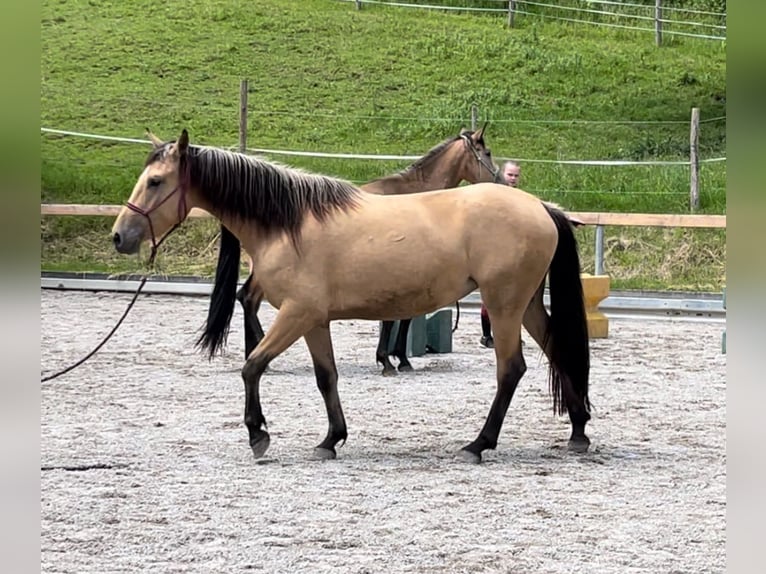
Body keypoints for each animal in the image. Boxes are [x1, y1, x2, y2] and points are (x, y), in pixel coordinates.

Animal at [112, 130, 592, 464]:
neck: (288, 221)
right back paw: (578, 431)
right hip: (525, 305)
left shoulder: (297, 314)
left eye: (155, 182)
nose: (120, 236)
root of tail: (539, 206)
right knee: (559, 351)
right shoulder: (314, 320)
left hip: (505, 304)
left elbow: (253, 367)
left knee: (511, 369)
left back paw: (479, 443)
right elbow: (326, 377)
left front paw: (258, 434)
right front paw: (331, 439)